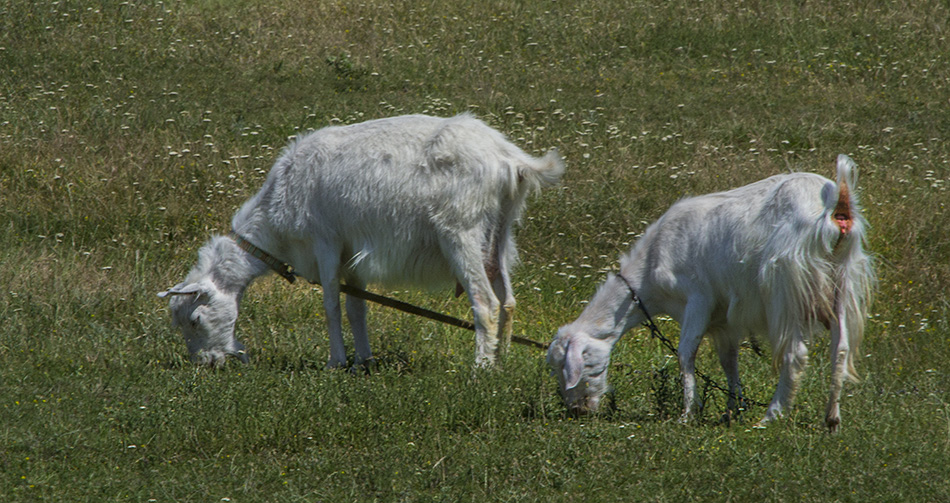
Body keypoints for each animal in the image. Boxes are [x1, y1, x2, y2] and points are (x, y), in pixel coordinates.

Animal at [159, 113, 565, 368]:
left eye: (194, 319)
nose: (207, 364)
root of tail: (510, 160)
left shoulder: (325, 242)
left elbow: (330, 305)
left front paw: (335, 362)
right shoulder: (353, 254)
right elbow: (357, 308)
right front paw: (362, 362)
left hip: (460, 230)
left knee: (486, 302)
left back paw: (479, 367)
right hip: (500, 233)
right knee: (508, 300)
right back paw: (500, 362)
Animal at [547, 155, 873, 431]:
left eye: (566, 367)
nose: (577, 411)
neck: (650, 266)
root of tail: (837, 203)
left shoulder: (697, 298)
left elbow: (685, 352)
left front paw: (688, 413)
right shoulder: (724, 320)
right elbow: (728, 360)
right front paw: (733, 409)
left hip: (787, 290)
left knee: (795, 353)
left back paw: (771, 416)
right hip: (841, 282)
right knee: (840, 349)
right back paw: (831, 420)